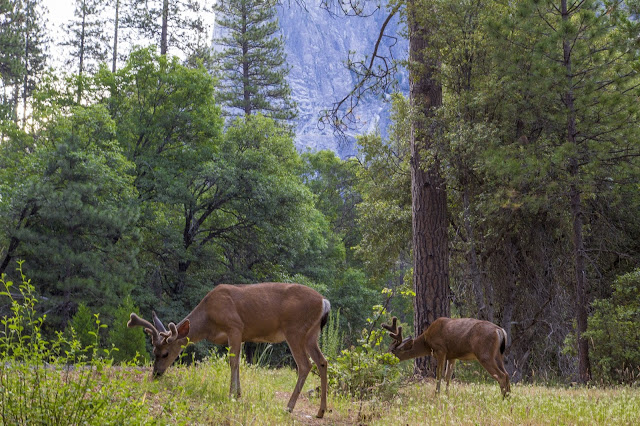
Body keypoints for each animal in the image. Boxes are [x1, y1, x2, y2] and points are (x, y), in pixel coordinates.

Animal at [128, 282, 332, 418]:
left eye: (165, 353)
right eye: (154, 352)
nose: (156, 374)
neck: (208, 319)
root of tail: (324, 302)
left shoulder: (235, 326)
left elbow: (233, 362)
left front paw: (231, 394)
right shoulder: (238, 336)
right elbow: (238, 362)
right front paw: (239, 393)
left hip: (295, 330)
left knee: (305, 365)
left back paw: (289, 407)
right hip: (311, 334)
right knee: (322, 361)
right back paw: (321, 411)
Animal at [382, 314, 512, 398]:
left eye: (392, 351)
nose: (382, 360)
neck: (427, 342)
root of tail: (500, 331)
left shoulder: (441, 350)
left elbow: (439, 375)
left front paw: (437, 394)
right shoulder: (452, 356)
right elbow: (448, 377)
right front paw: (446, 395)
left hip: (484, 354)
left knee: (501, 375)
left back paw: (503, 398)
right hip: (498, 354)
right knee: (506, 374)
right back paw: (509, 397)